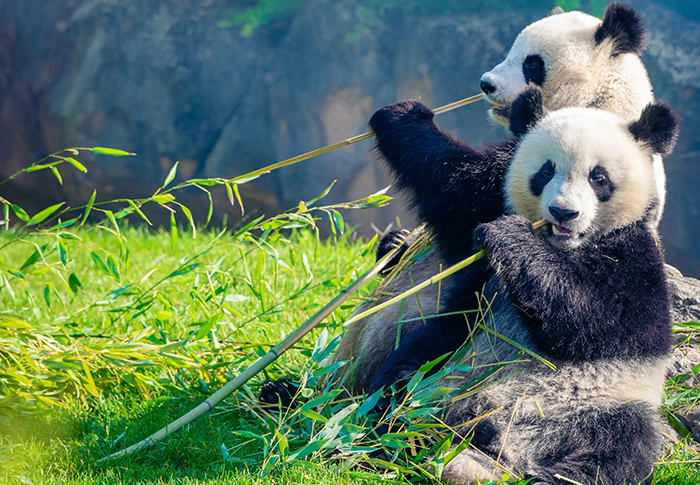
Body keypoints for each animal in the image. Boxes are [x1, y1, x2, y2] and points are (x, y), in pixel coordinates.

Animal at [334, 2, 665, 395]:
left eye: (532, 64)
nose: (486, 84)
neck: (605, 101)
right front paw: (394, 241)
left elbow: (463, 195)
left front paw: (402, 113)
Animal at [370, 85, 679, 485]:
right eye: (546, 171)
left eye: (599, 178)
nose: (564, 213)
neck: (562, 246)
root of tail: (503, 447)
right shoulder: (487, 210)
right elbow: (453, 187)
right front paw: (403, 114)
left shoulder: (635, 259)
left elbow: (598, 318)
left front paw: (511, 237)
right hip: (446, 362)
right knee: (403, 378)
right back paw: (386, 438)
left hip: (603, 403)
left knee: (620, 447)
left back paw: (549, 476)